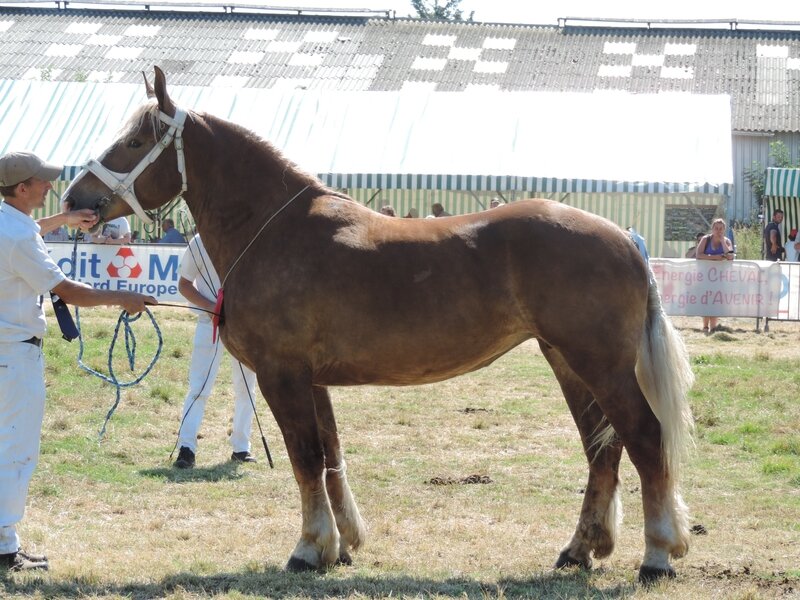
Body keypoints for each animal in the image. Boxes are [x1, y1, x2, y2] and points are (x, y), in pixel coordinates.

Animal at [64, 68, 692, 584]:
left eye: (135, 141)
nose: (77, 197)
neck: (275, 229)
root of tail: (624, 237)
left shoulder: (281, 375)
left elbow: (305, 458)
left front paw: (307, 548)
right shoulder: (312, 379)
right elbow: (330, 455)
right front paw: (340, 546)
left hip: (600, 364)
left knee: (643, 438)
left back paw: (658, 555)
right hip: (567, 361)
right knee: (602, 449)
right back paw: (580, 550)